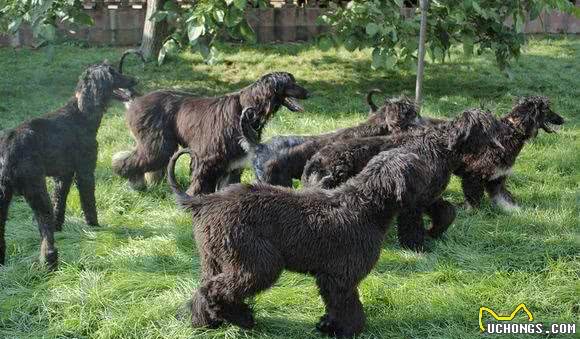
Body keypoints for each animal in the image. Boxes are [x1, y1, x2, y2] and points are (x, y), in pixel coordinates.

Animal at [0, 62, 137, 270]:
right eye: (112, 73)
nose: (135, 80)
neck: (81, 113)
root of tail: (8, 147)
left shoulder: (63, 175)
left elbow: (60, 202)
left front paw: (59, 226)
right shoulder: (85, 170)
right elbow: (88, 201)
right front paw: (94, 226)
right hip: (36, 191)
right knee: (45, 231)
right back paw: (50, 261)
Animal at [112, 71, 308, 194]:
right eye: (291, 82)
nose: (308, 93)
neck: (245, 108)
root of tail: (137, 99)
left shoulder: (232, 161)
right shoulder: (208, 156)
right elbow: (200, 180)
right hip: (159, 143)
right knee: (129, 161)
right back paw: (134, 181)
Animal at [165, 146, 428, 338]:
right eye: (418, 167)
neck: (366, 207)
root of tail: (204, 202)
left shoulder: (332, 278)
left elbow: (336, 306)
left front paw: (328, 325)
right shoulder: (339, 277)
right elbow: (347, 306)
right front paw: (348, 330)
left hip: (215, 259)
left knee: (203, 291)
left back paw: (206, 323)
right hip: (258, 263)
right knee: (215, 291)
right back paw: (243, 318)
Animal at [300, 109, 502, 250]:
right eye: (488, 131)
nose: (500, 150)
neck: (441, 146)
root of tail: (316, 160)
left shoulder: (429, 197)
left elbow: (447, 212)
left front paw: (434, 232)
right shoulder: (413, 203)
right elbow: (412, 226)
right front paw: (417, 247)